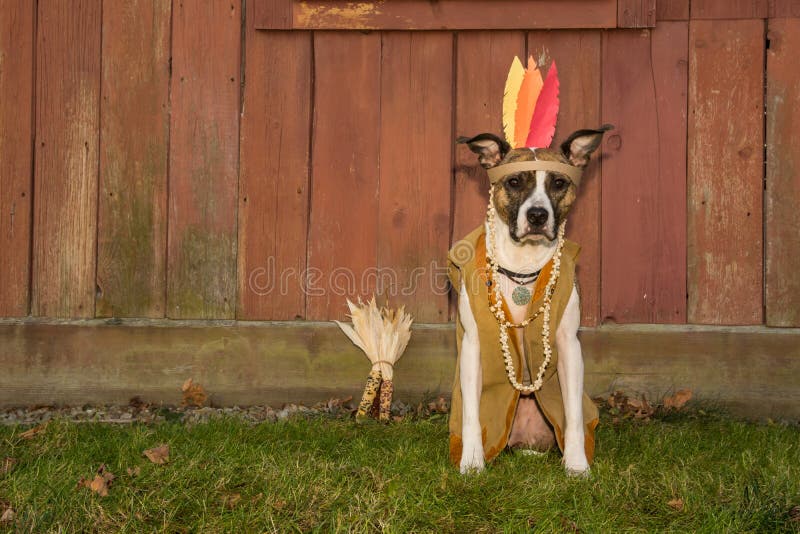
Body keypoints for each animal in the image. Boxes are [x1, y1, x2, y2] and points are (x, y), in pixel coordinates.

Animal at [446, 125, 608, 478]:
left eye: (558, 183)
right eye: (515, 182)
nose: (537, 215)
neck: (523, 265)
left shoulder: (568, 345)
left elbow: (573, 415)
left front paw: (577, 463)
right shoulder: (473, 345)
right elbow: (471, 414)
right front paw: (471, 461)